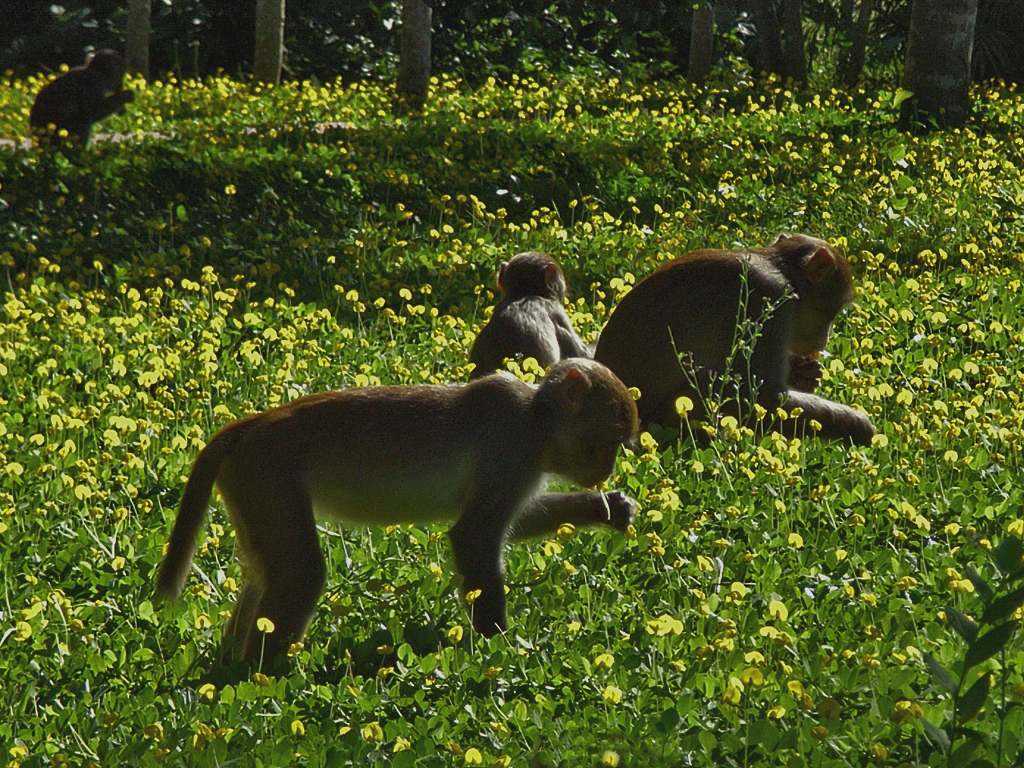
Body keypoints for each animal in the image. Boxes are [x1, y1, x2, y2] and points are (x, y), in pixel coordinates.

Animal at [154, 360, 634, 667]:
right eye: (608, 441)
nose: (605, 470)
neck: (536, 422)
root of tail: (250, 425)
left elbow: (513, 525)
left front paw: (605, 508)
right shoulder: (510, 449)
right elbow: (475, 534)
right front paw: (497, 647)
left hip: (249, 485)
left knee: (265, 572)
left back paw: (230, 666)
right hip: (267, 473)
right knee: (300, 572)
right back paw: (259, 676)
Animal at [598, 237, 876, 448]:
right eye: (834, 312)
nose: (826, 338)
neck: (780, 270)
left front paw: (802, 373)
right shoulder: (768, 298)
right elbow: (760, 397)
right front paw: (857, 425)